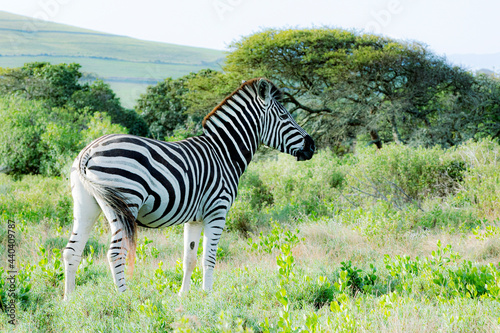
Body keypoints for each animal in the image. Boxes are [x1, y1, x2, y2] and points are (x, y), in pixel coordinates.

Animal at [61, 78, 312, 298]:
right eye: (284, 116)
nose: (312, 145)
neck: (224, 153)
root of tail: (88, 152)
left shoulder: (195, 218)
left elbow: (189, 258)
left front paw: (184, 296)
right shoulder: (217, 211)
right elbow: (209, 258)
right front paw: (208, 297)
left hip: (86, 206)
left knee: (72, 251)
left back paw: (69, 301)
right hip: (125, 203)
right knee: (115, 253)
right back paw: (124, 298)